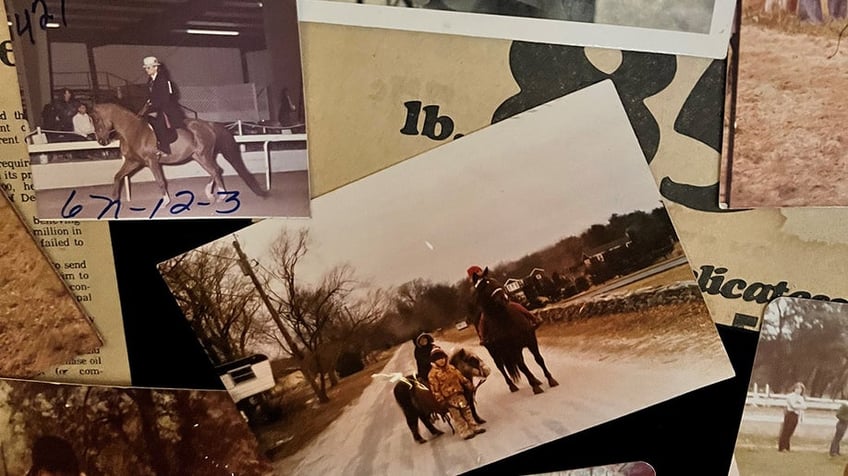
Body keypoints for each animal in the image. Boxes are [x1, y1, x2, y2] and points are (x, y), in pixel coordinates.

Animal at [89, 102, 268, 205]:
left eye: (96, 120)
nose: (101, 141)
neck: (134, 130)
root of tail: (210, 124)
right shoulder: (133, 161)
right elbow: (118, 176)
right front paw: (114, 200)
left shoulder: (152, 161)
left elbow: (160, 181)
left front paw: (165, 201)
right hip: (198, 156)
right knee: (216, 171)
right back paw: (210, 194)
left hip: (203, 155)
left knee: (216, 170)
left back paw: (221, 196)